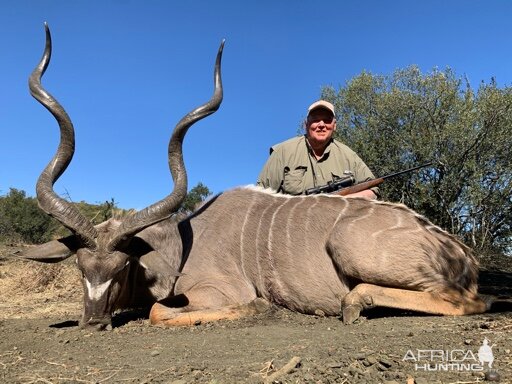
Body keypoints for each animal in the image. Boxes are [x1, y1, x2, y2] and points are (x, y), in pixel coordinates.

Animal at [21, 24, 492, 330]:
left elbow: (159, 313)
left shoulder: (220, 290)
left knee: (472, 301)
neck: (181, 243)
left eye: (121, 268)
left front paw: (263, 310)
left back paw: (355, 303)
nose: (92, 322)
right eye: (81, 266)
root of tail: (461, 252)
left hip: (351, 248)